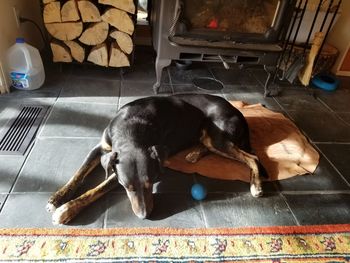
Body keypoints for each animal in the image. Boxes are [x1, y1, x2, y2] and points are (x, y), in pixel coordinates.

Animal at [47, 94, 266, 226]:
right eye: (128, 188)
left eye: (151, 182)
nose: (144, 216)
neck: (130, 129)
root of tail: (239, 113)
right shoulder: (102, 149)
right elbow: (78, 174)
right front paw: (57, 198)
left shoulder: (116, 170)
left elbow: (96, 189)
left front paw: (67, 209)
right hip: (211, 137)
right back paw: (194, 153)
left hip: (216, 135)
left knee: (252, 157)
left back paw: (256, 186)